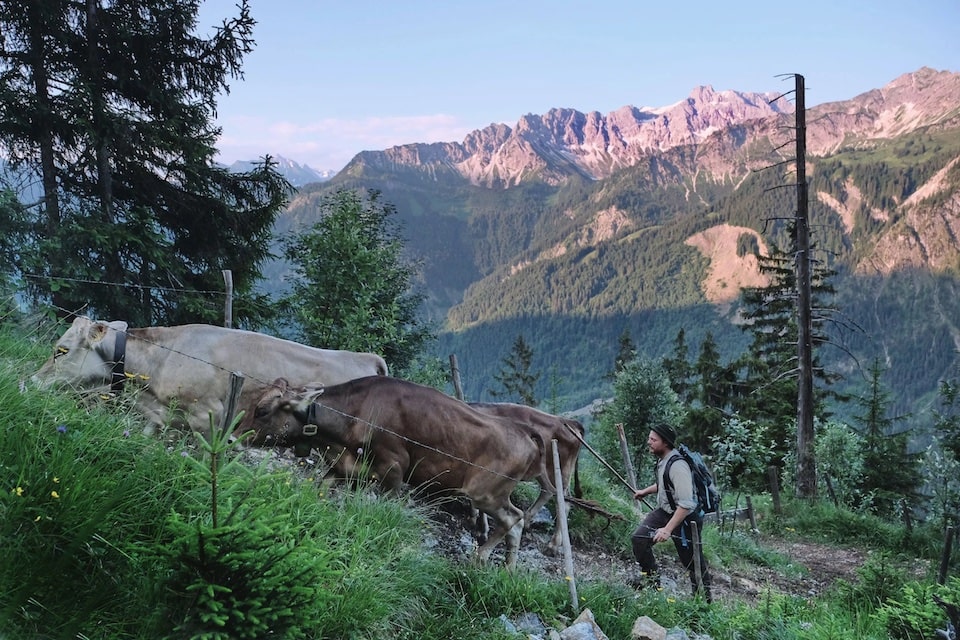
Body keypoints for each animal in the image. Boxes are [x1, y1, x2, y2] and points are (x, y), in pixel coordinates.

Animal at [238, 378, 548, 568]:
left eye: (261, 410)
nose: (232, 436)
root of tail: (525, 431)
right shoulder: (347, 467)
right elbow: (323, 489)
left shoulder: (394, 467)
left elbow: (388, 510)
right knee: (516, 521)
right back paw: (507, 569)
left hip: (485, 492)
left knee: (514, 517)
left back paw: (483, 557)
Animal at [466, 402, 580, 552]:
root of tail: (570, 422)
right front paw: (479, 524)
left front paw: (481, 527)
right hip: (545, 471)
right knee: (549, 492)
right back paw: (527, 521)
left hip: (559, 470)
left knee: (562, 501)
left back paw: (553, 544)